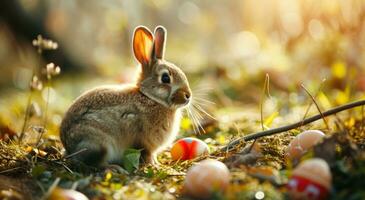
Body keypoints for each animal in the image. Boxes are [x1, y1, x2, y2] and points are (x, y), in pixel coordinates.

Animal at [59, 26, 191, 167]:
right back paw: (113, 168)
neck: (150, 97)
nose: (188, 95)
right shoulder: (141, 140)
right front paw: (153, 165)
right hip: (99, 143)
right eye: (165, 78)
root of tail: (68, 146)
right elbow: (146, 153)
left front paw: (156, 164)